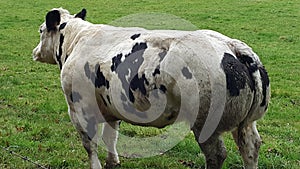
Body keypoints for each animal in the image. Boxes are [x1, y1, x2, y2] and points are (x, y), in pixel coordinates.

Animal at [31, 7, 270, 169]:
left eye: (41, 30)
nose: (35, 52)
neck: (77, 41)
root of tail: (231, 46)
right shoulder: (111, 105)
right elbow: (111, 136)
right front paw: (113, 162)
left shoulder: (78, 108)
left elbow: (90, 143)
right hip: (247, 122)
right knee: (250, 147)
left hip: (206, 123)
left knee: (217, 155)